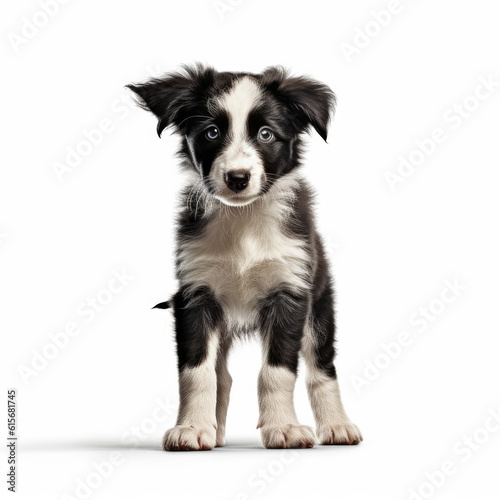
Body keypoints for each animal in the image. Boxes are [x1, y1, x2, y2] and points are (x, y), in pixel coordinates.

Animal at [128, 64, 364, 452]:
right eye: (211, 132)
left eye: (266, 134)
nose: (237, 178)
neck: (243, 221)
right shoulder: (195, 295)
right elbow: (197, 373)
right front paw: (192, 428)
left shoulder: (290, 293)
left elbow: (277, 372)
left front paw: (284, 428)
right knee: (221, 374)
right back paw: (215, 432)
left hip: (319, 305)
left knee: (322, 368)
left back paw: (337, 425)